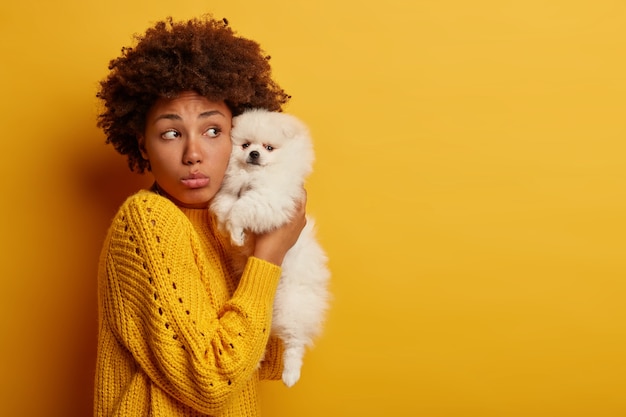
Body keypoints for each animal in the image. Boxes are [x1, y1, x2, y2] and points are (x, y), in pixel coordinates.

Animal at [210, 108, 330, 386]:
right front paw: (233, 233)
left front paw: (235, 230)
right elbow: (224, 206)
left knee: (295, 341)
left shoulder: (271, 198)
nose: (254, 154)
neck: (252, 176)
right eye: (245, 145)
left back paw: (291, 373)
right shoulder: (228, 192)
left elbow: (241, 209)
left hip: (293, 302)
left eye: (268, 147)